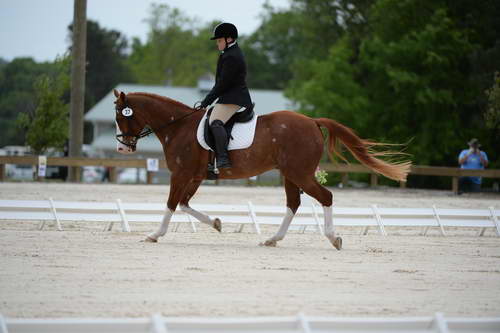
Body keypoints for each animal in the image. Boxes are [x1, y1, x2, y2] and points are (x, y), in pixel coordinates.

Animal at [113, 89, 410, 249]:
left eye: (120, 115)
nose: (123, 148)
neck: (178, 126)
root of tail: (312, 121)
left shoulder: (181, 174)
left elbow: (171, 204)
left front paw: (154, 235)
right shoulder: (194, 177)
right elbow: (185, 204)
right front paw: (217, 223)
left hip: (300, 172)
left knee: (325, 197)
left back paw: (333, 238)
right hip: (291, 174)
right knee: (293, 204)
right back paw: (272, 239)